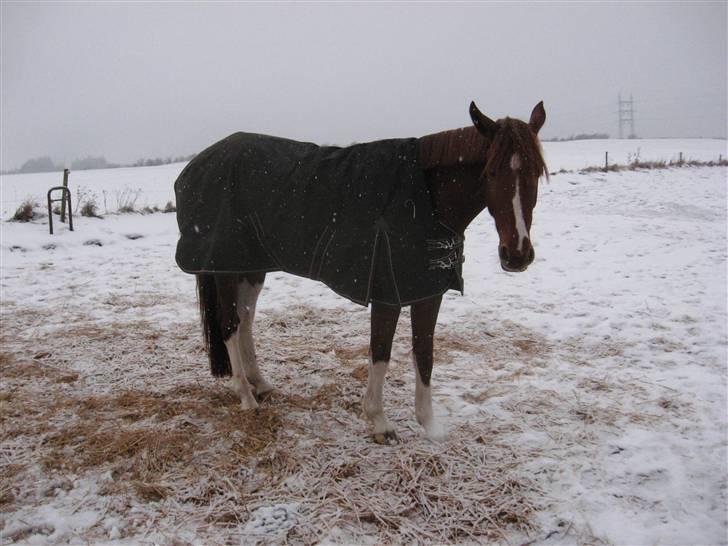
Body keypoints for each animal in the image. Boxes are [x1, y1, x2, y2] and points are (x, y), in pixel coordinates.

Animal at [175, 101, 544, 442]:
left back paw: (261, 384)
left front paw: (430, 426)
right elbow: (380, 352)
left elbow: (424, 354)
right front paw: (379, 422)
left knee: (246, 321)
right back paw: (247, 398)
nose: (517, 255)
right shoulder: (387, 292)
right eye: (491, 172)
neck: (426, 199)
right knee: (230, 325)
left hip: (251, 267)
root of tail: (198, 164)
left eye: (536, 173)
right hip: (225, 266)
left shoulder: (427, 290)